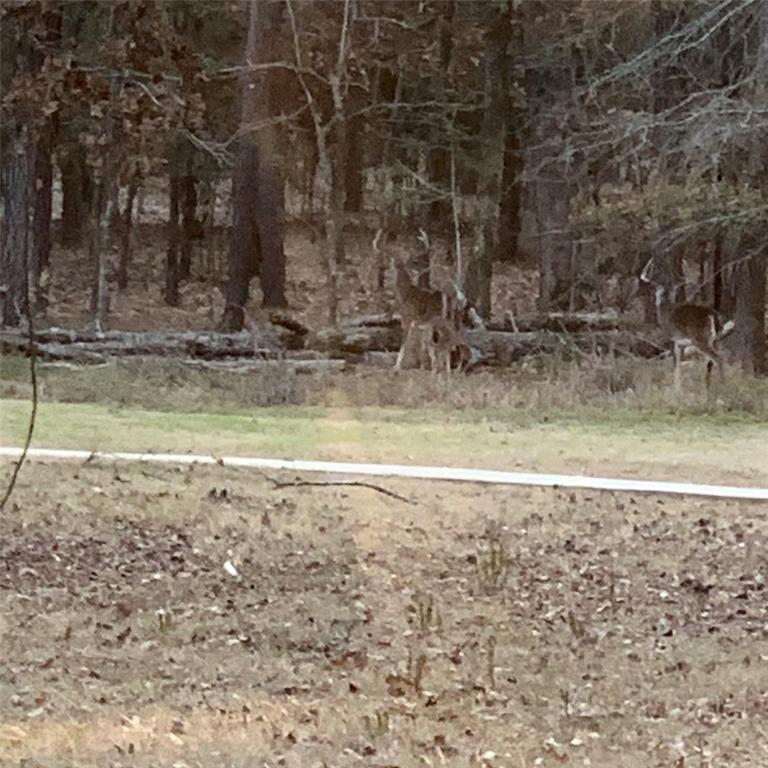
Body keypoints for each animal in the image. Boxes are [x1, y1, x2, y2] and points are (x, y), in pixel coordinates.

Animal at [640, 258, 736, 392]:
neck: (666, 311)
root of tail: (712, 315)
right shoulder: (683, 343)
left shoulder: (674, 339)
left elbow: (676, 365)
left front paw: (676, 389)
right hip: (714, 339)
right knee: (712, 359)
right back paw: (707, 385)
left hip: (700, 339)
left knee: (718, 358)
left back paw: (722, 385)